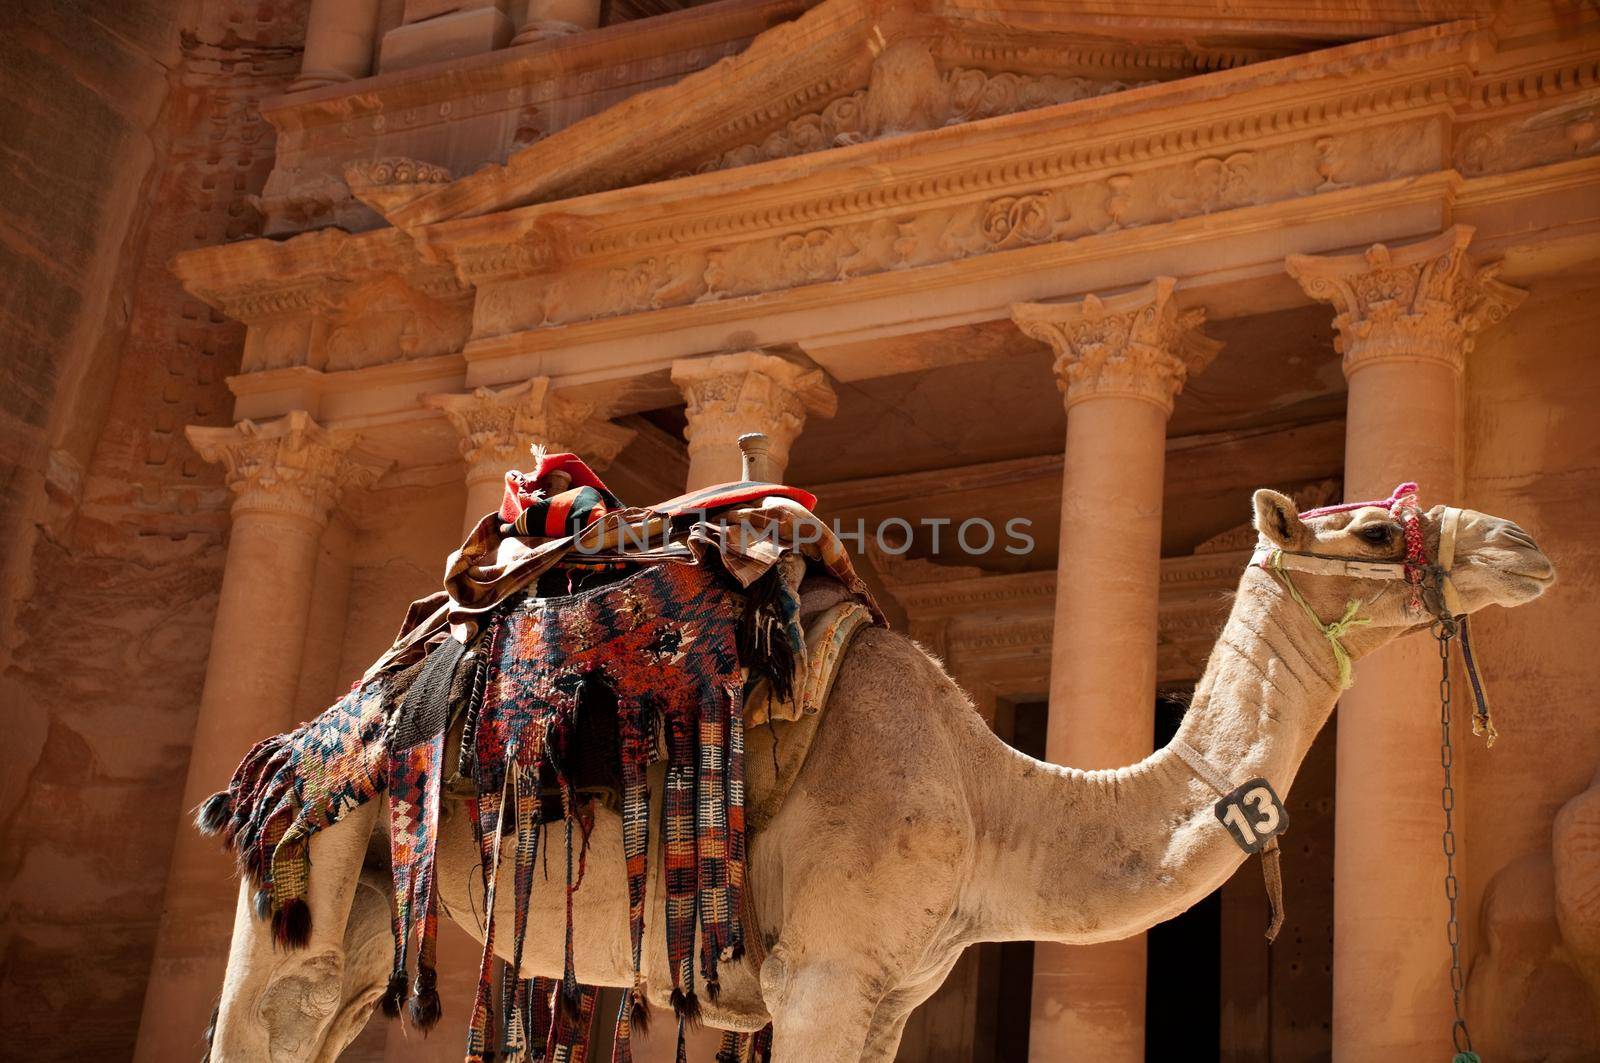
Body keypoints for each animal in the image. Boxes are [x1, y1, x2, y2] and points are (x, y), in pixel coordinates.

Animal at [200, 489, 1548, 1063]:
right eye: (1371, 527)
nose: (1524, 544)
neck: (994, 803)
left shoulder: (889, 994)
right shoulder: (825, 976)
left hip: (376, 913)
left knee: (316, 1016)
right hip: (312, 845)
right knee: (263, 1013)